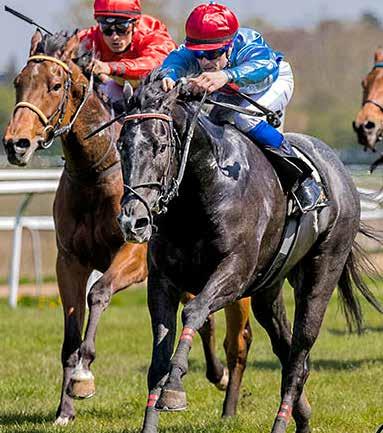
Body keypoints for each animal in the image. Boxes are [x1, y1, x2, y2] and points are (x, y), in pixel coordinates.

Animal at [118, 74, 383, 432]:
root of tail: (339, 170)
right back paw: (303, 417)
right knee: (286, 347)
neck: (205, 187)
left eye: (161, 145)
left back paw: (282, 421)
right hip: (268, 288)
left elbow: (194, 312)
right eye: (121, 145)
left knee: (300, 350)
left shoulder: (235, 273)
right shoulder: (162, 282)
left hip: (323, 269)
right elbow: (159, 354)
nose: (133, 220)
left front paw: (174, 389)